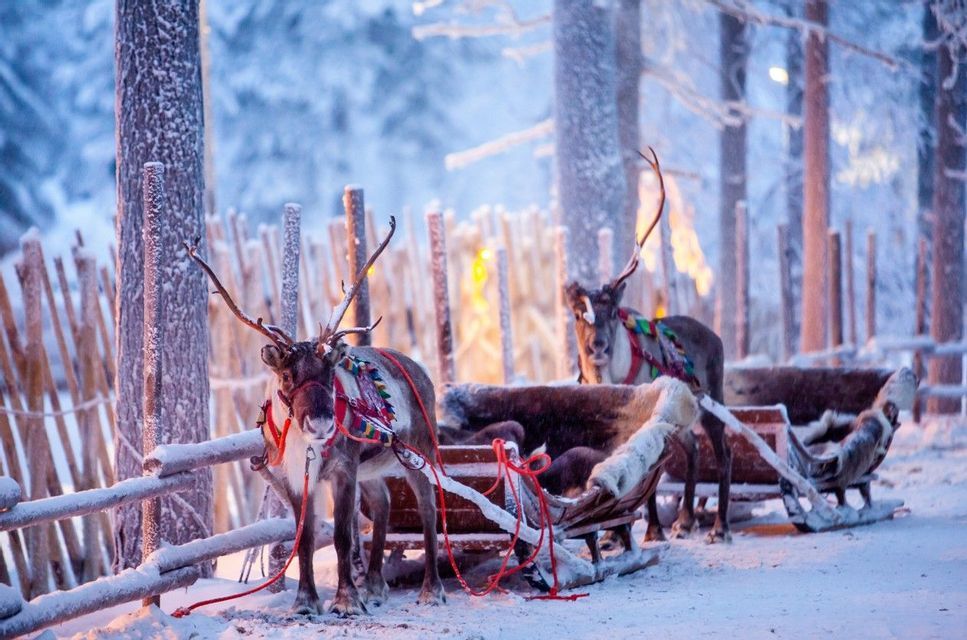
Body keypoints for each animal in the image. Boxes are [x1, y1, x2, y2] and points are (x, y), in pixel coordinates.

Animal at [185, 217, 446, 616]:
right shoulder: (294, 477)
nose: (321, 424)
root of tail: (421, 370)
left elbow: (341, 536)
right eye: (286, 375)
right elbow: (304, 539)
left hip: (418, 453)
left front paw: (346, 601)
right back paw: (375, 587)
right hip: (372, 466)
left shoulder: (343, 469)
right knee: (383, 502)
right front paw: (306, 601)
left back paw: (432, 589)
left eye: (329, 373)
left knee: (428, 509)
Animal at [563, 149, 733, 544]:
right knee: (694, 450)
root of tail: (714, 335)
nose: (597, 346)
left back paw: (719, 526)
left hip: (712, 401)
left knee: (723, 453)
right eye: (578, 313)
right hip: (683, 420)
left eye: (612, 310)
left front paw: (653, 529)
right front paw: (612, 534)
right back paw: (685, 520)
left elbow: (647, 478)